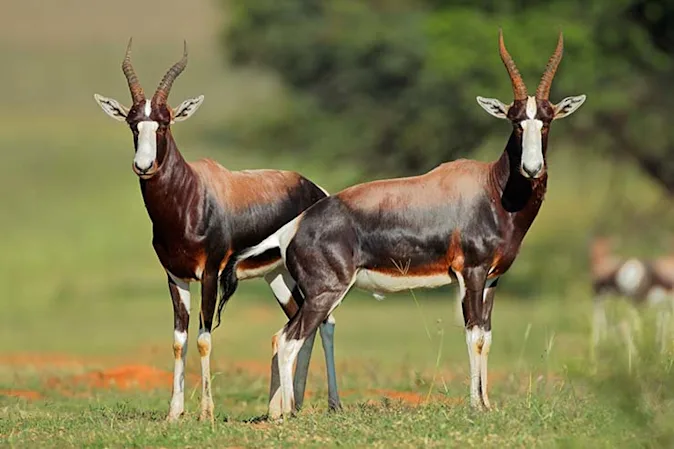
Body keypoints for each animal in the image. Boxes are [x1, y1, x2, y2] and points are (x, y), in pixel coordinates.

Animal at [93, 40, 341, 421]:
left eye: (164, 123)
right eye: (134, 124)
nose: (143, 166)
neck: (192, 195)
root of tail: (317, 190)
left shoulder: (210, 274)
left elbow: (203, 338)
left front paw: (206, 412)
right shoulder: (175, 277)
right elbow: (179, 341)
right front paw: (174, 412)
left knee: (325, 322)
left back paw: (331, 403)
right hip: (278, 276)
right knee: (301, 321)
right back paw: (289, 405)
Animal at [237, 30, 586, 417]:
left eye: (547, 120)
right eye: (514, 120)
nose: (531, 168)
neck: (492, 189)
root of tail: (294, 227)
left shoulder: (492, 280)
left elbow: (487, 336)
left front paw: (487, 403)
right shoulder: (471, 273)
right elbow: (473, 335)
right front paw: (475, 406)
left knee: (296, 336)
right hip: (325, 292)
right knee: (287, 339)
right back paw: (285, 414)